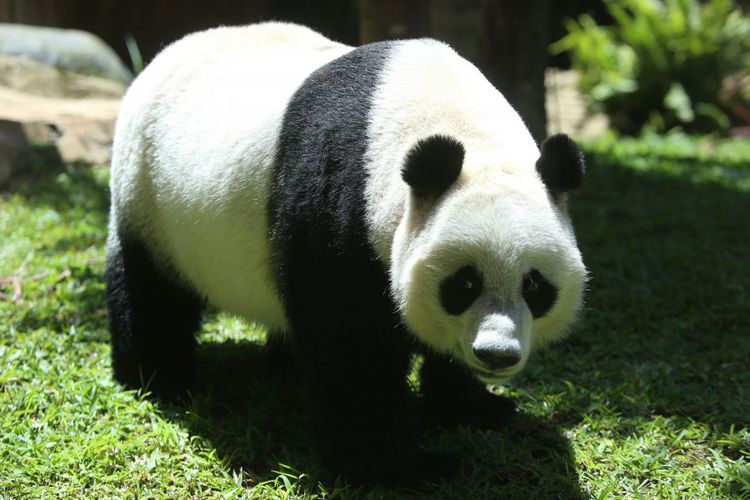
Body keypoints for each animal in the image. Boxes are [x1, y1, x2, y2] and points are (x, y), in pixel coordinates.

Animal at [106, 22, 587, 481]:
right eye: (464, 283)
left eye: (534, 285)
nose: (497, 355)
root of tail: (167, 52)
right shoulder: (337, 205)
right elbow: (350, 350)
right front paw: (399, 466)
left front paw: (473, 406)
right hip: (147, 194)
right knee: (149, 291)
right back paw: (158, 376)